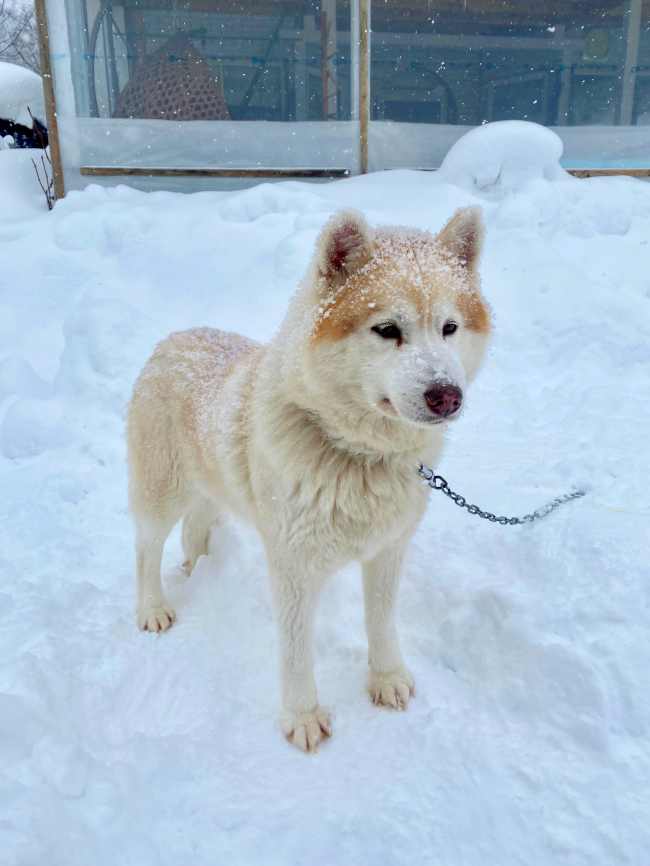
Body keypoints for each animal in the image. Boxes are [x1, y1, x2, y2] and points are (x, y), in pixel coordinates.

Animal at [126, 208, 488, 748]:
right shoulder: (293, 567)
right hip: (160, 493)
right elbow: (297, 652)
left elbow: (381, 622)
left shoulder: (388, 551)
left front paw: (386, 678)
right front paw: (302, 717)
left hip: (211, 487)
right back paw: (153, 608)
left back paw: (202, 567)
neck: (357, 456)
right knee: (147, 549)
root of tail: (174, 340)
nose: (447, 396)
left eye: (450, 327)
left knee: (196, 529)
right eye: (387, 329)